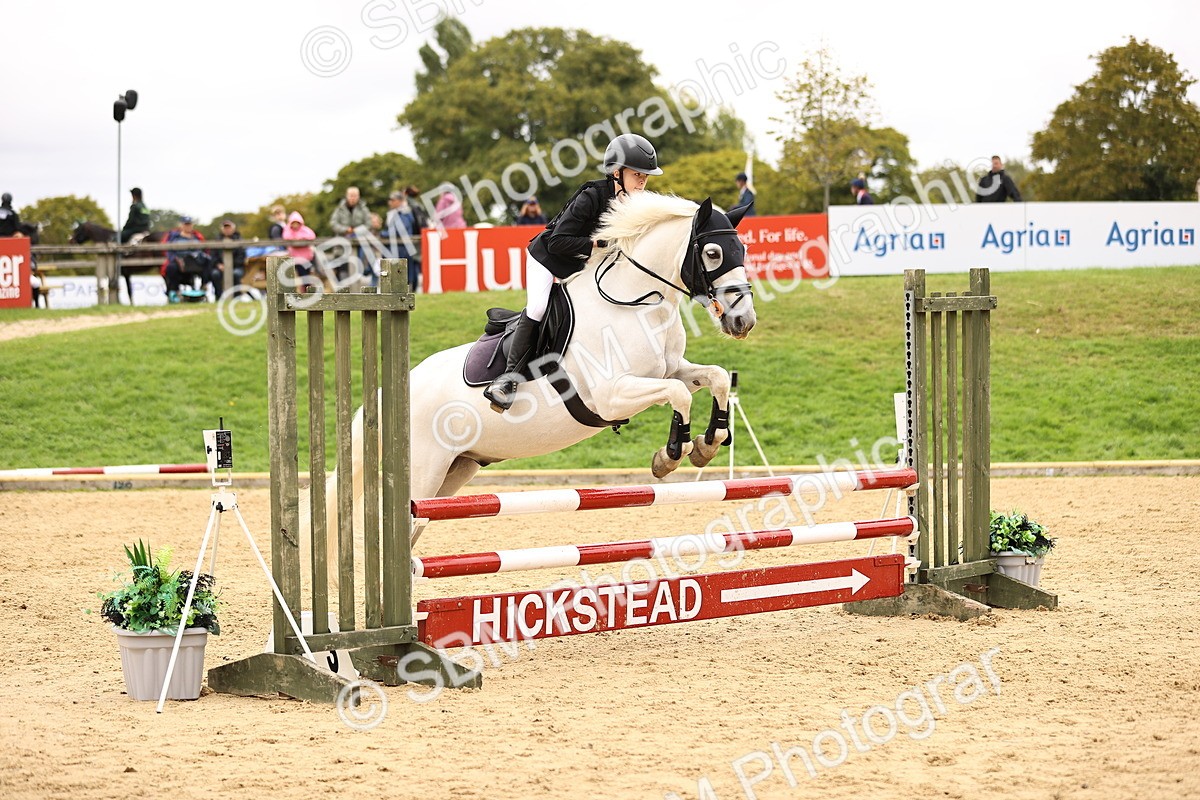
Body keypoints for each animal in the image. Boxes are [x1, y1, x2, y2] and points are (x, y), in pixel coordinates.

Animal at [312, 192, 757, 584]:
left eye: (743, 251)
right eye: (713, 254)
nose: (743, 321)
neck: (635, 302)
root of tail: (390, 393)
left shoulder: (672, 370)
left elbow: (714, 377)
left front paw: (709, 442)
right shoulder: (612, 395)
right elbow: (679, 396)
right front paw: (671, 454)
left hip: (454, 471)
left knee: (413, 530)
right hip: (424, 472)